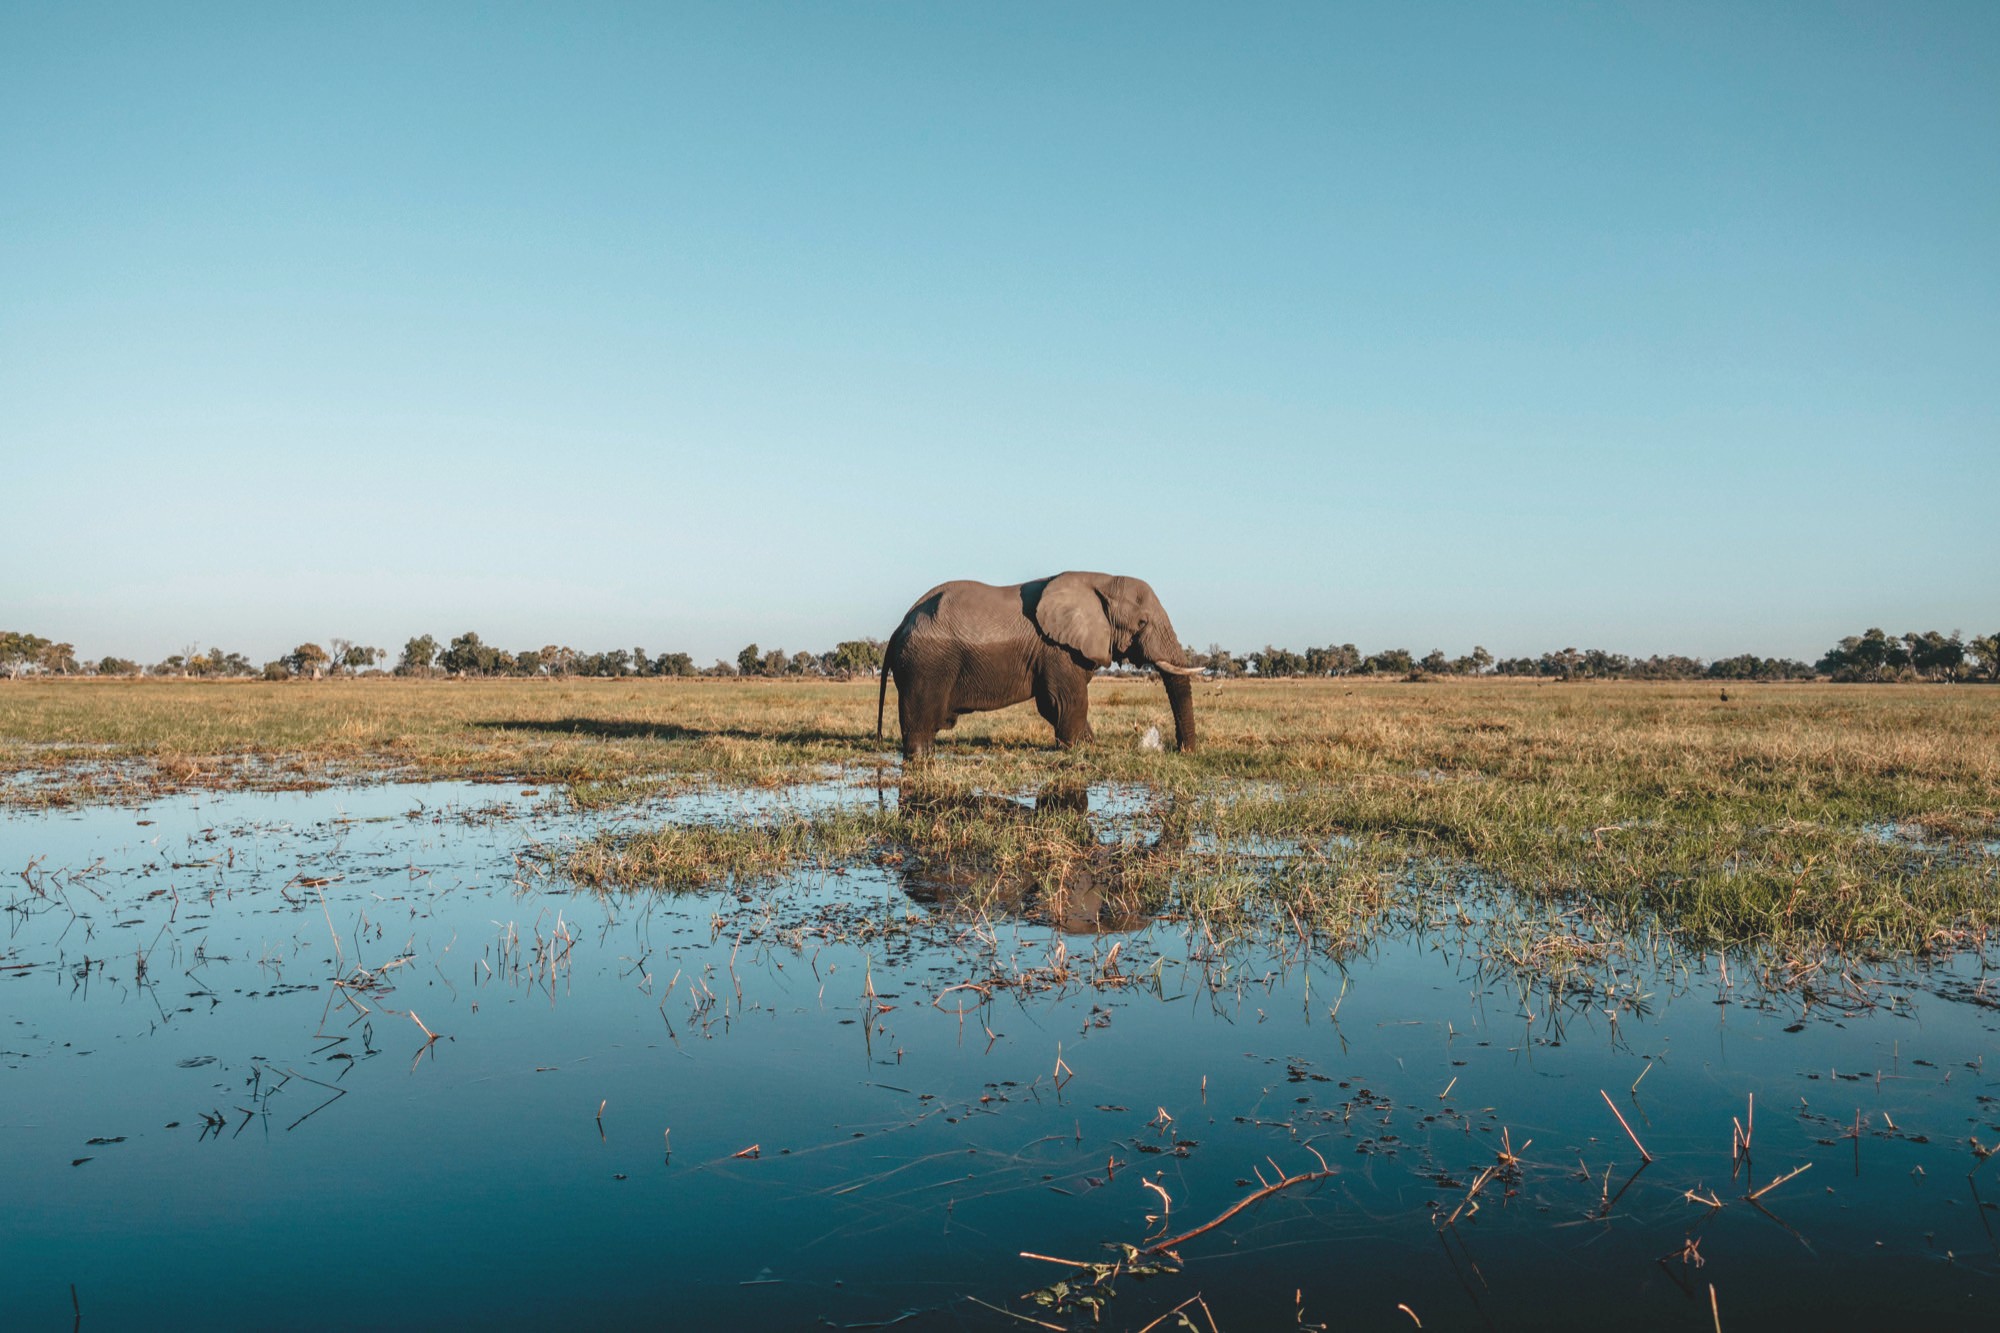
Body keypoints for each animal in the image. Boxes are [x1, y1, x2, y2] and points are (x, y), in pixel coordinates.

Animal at [875, 571, 1200, 760]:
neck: (1100, 580)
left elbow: (1055, 705)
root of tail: (899, 626)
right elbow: (1066, 701)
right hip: (925, 664)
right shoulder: (1056, 650)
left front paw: (1088, 746)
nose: (1182, 751)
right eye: (1142, 623)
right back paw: (920, 758)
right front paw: (1074, 750)